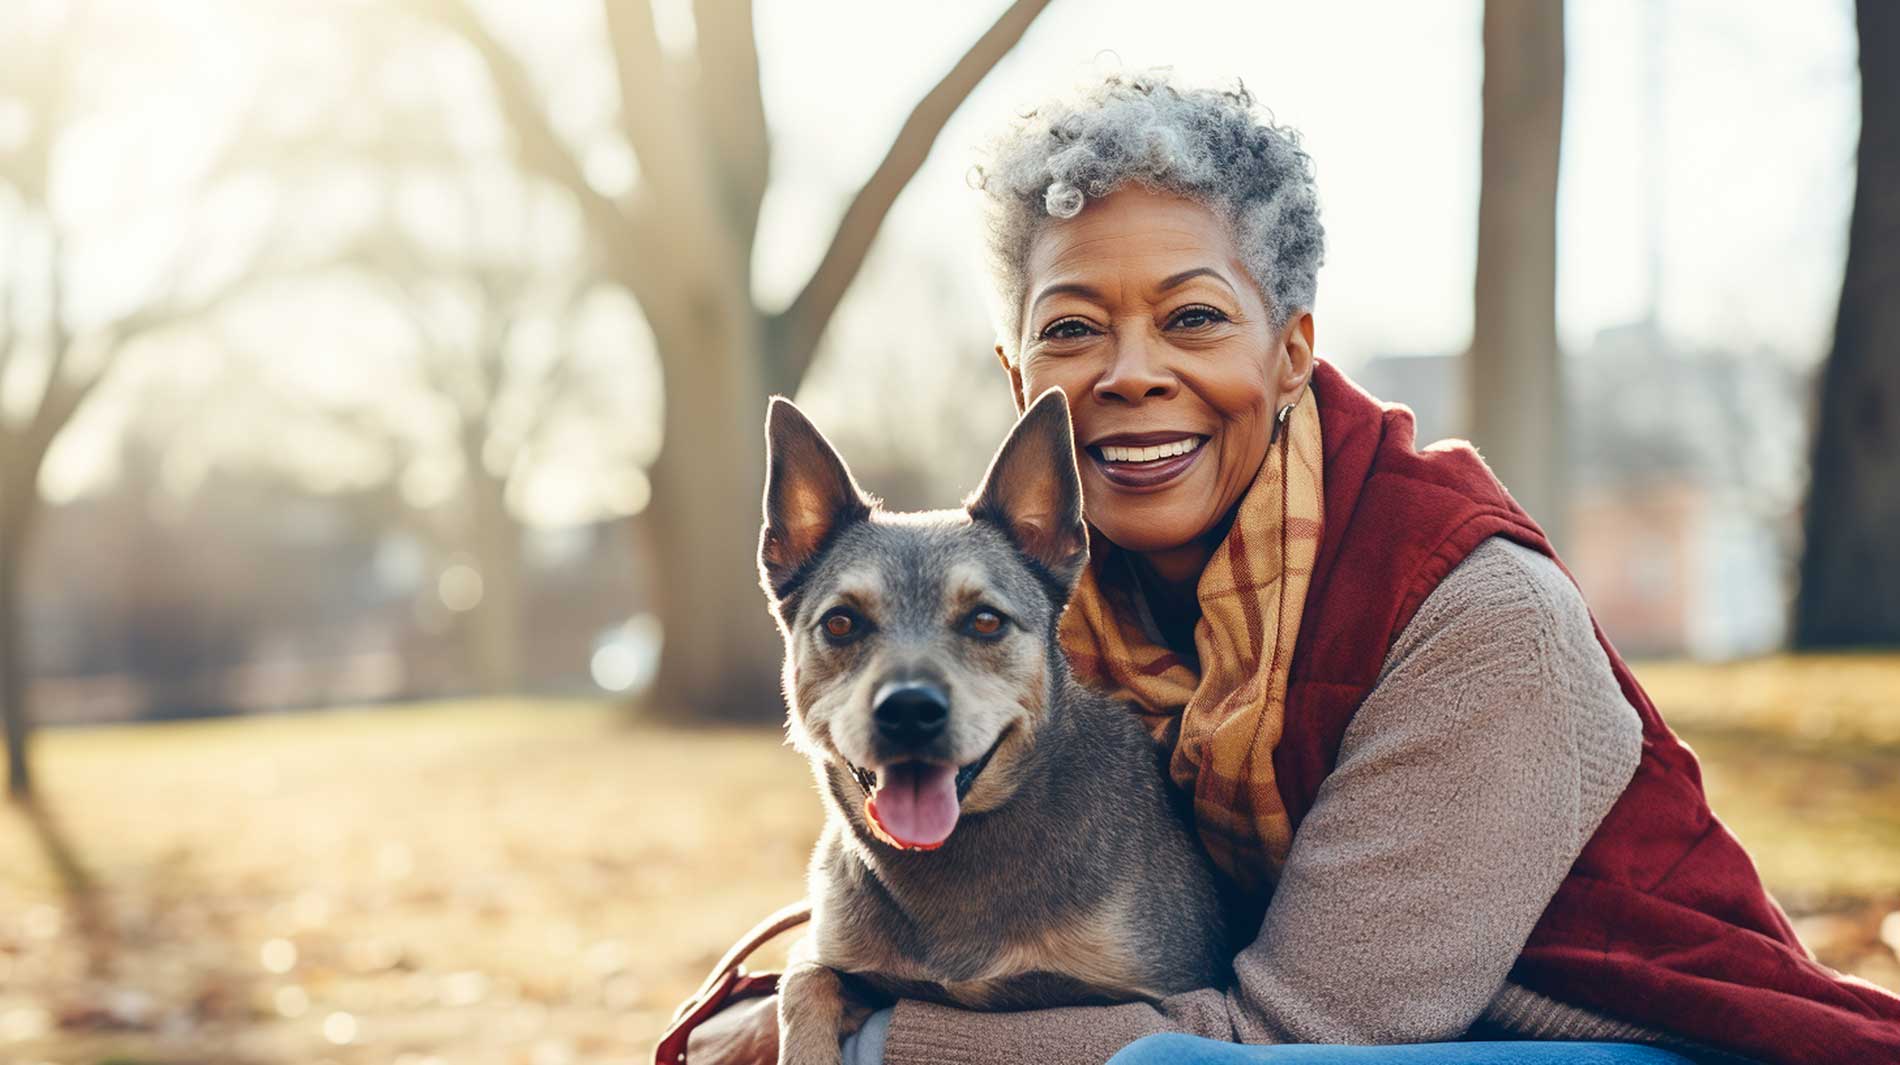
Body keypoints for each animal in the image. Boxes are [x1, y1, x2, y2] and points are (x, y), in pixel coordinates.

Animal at [756, 389, 1231, 1063]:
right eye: (841, 623)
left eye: (985, 620)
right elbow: (805, 979)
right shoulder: (834, 953)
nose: (908, 710)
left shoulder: (1159, 993)